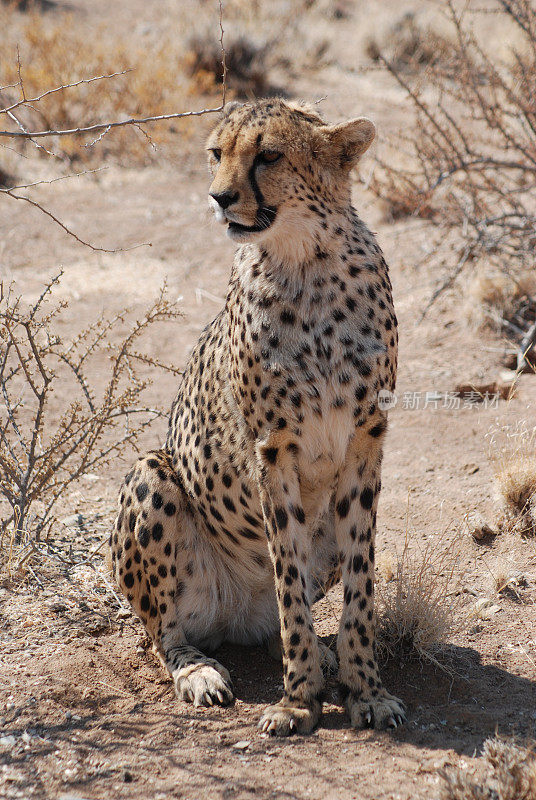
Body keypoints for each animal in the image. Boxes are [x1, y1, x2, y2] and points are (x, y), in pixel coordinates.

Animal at [112, 100, 406, 736]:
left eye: (268, 155)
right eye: (215, 153)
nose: (219, 197)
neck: (305, 258)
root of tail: (240, 617)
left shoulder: (365, 440)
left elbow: (360, 583)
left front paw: (365, 690)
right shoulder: (272, 449)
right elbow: (289, 581)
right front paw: (297, 702)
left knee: (281, 616)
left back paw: (321, 654)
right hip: (153, 476)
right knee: (168, 632)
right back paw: (201, 671)